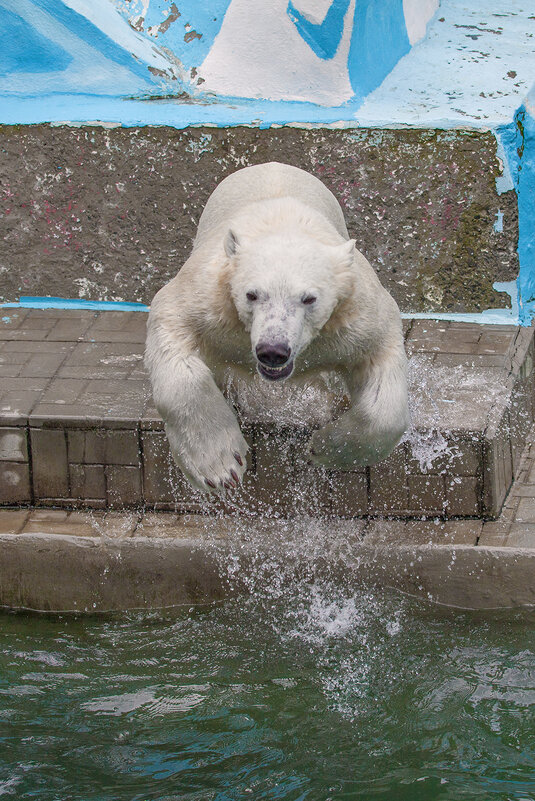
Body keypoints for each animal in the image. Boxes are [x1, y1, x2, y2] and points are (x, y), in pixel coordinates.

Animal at [144, 160, 408, 490]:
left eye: (309, 298)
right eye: (252, 294)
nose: (273, 350)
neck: (285, 225)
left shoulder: (354, 317)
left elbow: (382, 372)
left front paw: (322, 448)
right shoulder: (210, 298)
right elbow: (172, 323)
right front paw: (219, 466)